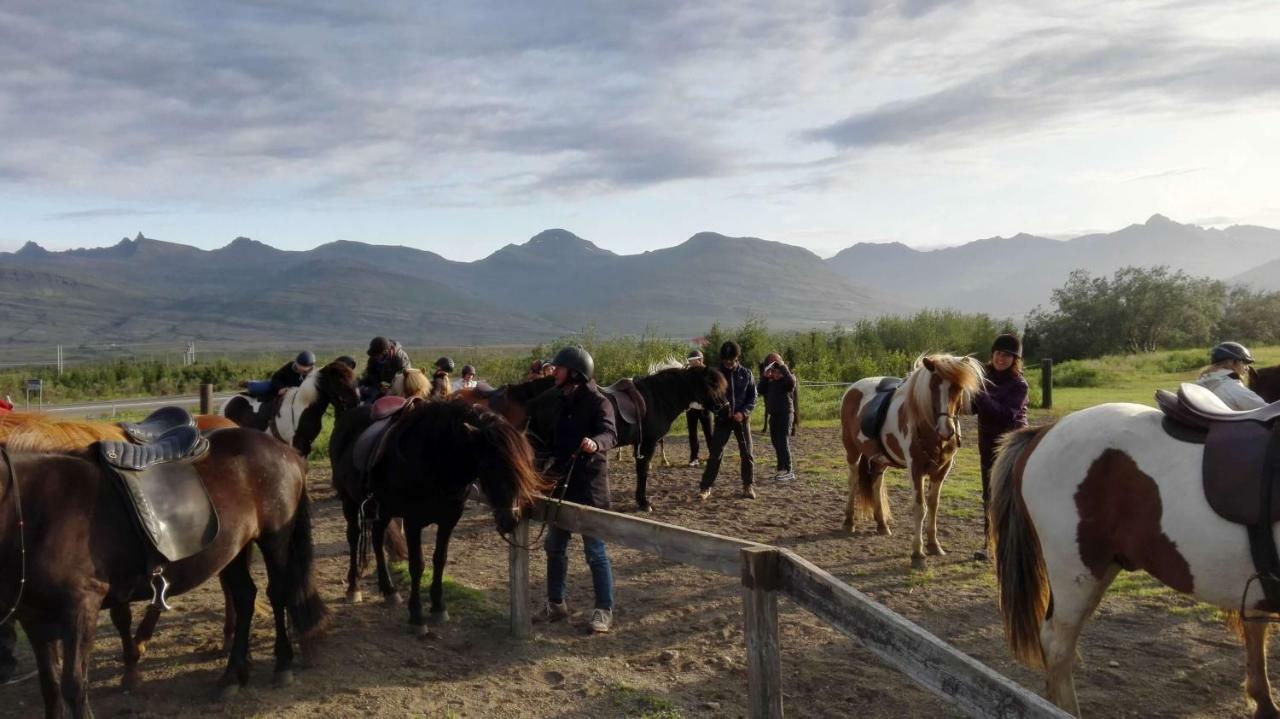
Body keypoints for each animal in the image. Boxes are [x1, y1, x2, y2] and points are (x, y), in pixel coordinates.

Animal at [220, 358, 358, 452]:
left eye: (352, 376)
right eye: (339, 379)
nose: (355, 400)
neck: (303, 406)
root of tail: (226, 403)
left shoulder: (306, 444)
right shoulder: (298, 444)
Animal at [330, 399, 545, 629]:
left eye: (526, 465)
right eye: (489, 466)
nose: (510, 520)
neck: (434, 459)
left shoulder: (449, 520)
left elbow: (440, 559)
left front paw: (438, 607)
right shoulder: (413, 521)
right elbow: (417, 565)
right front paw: (417, 616)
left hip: (383, 509)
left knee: (378, 540)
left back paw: (389, 590)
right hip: (349, 501)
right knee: (354, 538)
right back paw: (353, 587)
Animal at [527, 363, 732, 509]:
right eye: (713, 384)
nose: (726, 409)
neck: (657, 398)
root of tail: (536, 401)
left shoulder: (639, 444)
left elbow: (641, 469)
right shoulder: (649, 443)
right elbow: (643, 471)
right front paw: (643, 502)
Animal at [834, 353, 983, 565]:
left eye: (958, 387)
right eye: (933, 386)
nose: (946, 431)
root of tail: (852, 388)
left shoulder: (941, 470)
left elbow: (933, 506)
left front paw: (934, 544)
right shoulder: (916, 469)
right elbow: (920, 507)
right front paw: (917, 553)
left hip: (880, 459)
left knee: (876, 484)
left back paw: (882, 524)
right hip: (852, 450)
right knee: (853, 481)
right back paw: (849, 522)